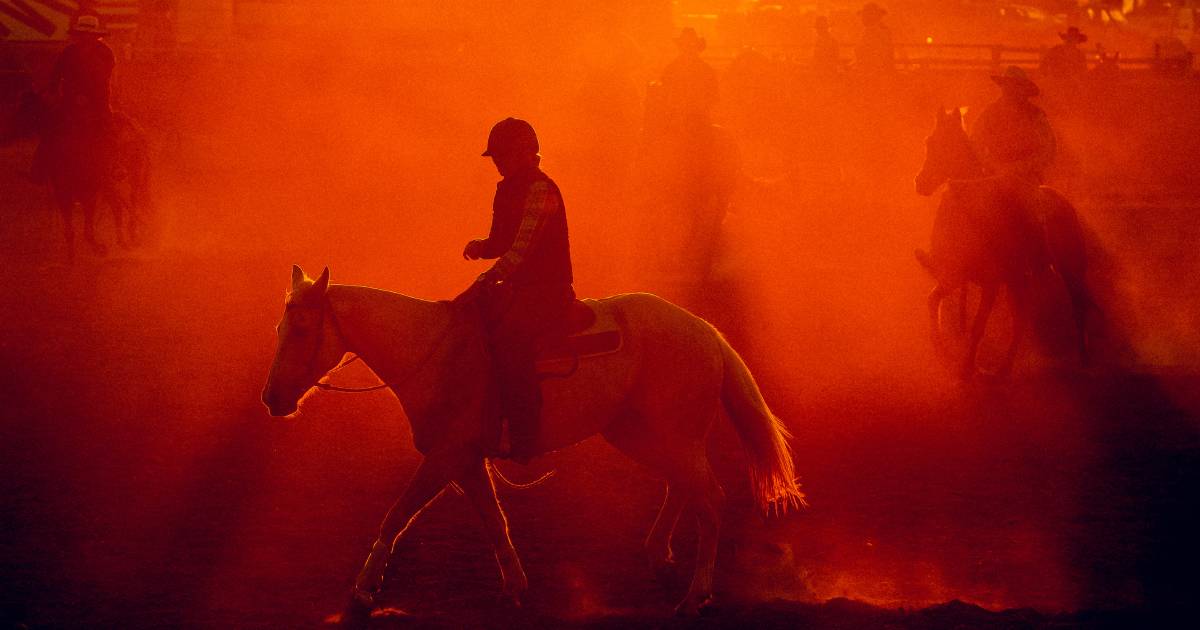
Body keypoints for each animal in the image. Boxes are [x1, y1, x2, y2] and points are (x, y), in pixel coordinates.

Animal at [5, 91, 151, 260]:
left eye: (22, 109)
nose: (7, 132)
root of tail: (136, 127)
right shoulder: (65, 193)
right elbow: (72, 230)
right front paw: (72, 256)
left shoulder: (87, 192)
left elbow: (87, 228)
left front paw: (98, 249)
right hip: (114, 183)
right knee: (121, 205)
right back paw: (125, 239)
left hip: (132, 176)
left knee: (129, 202)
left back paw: (130, 235)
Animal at [264, 265, 806, 619]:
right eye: (280, 326)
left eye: (303, 328)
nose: (272, 399)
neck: (433, 350)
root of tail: (706, 330)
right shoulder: (465, 462)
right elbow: (494, 521)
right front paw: (515, 587)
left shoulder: (445, 457)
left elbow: (396, 514)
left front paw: (362, 590)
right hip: (639, 432)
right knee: (683, 487)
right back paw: (658, 556)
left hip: (675, 435)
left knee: (709, 499)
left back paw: (695, 596)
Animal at [912, 106, 1094, 379]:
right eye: (929, 141)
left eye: (947, 144)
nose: (921, 183)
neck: (974, 212)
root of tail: (1063, 202)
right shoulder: (956, 276)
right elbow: (933, 301)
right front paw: (941, 350)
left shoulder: (991, 283)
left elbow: (978, 326)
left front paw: (967, 369)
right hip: (1016, 281)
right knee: (1020, 320)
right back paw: (1004, 369)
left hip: (1069, 270)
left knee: (1077, 306)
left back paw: (1083, 359)